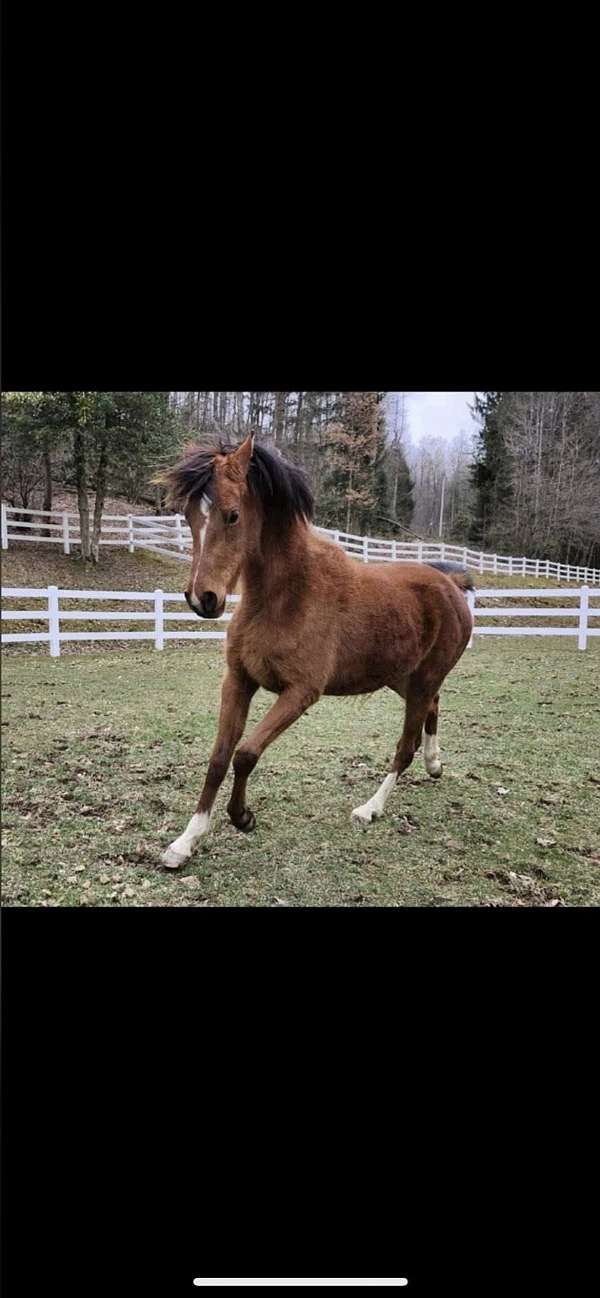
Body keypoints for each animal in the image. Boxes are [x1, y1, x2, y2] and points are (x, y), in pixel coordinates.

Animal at [157, 433, 474, 869]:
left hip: (423, 680)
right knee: (434, 708)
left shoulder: (301, 692)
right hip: (402, 679)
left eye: (233, 515)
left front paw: (243, 817)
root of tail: (451, 586)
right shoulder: (238, 680)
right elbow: (220, 757)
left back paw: (370, 808)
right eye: (188, 516)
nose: (202, 599)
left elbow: (246, 754)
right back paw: (435, 764)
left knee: (405, 747)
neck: (286, 597)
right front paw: (185, 842)